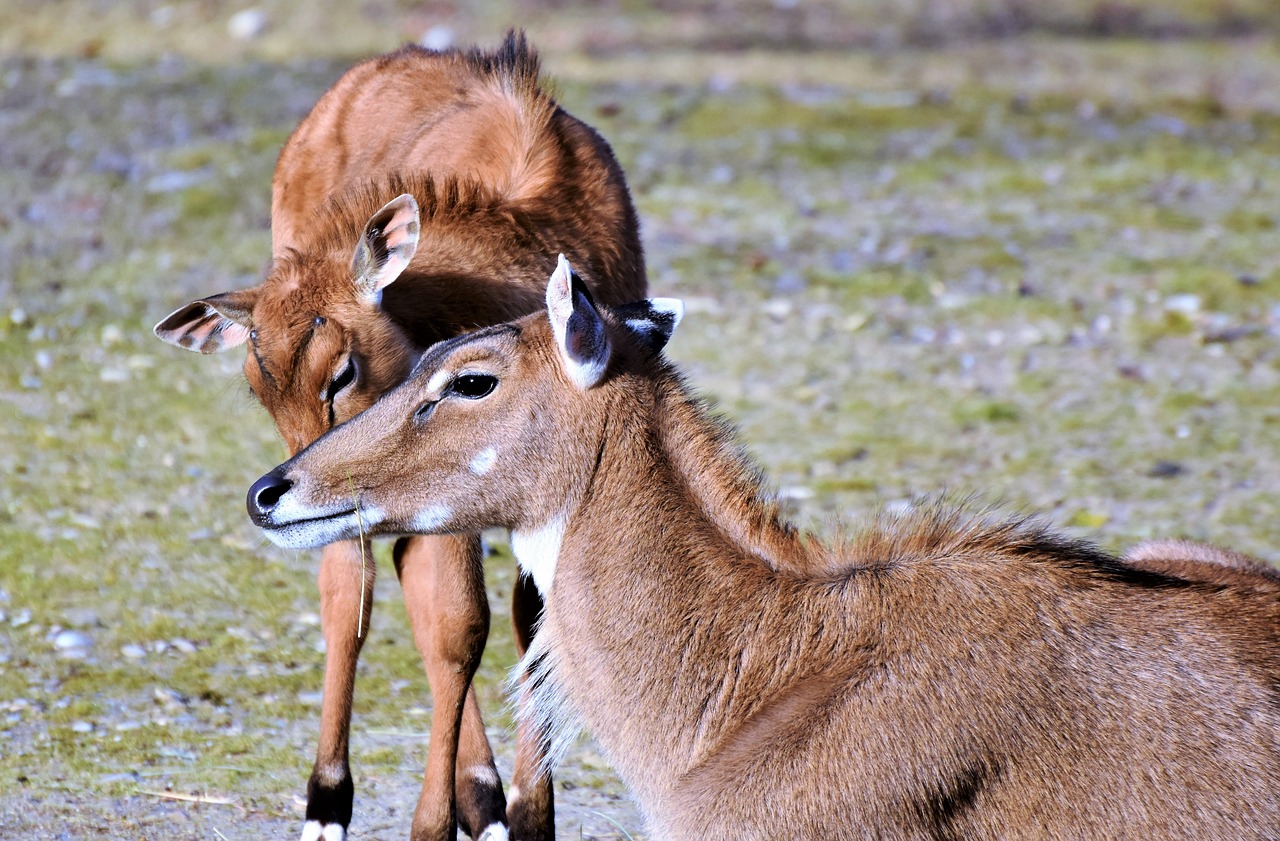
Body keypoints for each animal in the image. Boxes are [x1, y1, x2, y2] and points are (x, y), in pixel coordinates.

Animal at [154, 34, 645, 839]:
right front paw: (436, 816)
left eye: (342, 371)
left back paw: (482, 794)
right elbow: (453, 625)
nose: (280, 489)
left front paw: (527, 809)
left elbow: (516, 620)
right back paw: (337, 800)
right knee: (357, 595)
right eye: (259, 386)